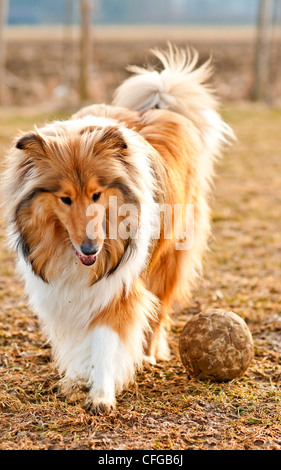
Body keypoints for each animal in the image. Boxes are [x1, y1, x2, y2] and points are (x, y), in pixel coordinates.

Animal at [1, 45, 231, 412]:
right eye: (65, 198)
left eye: (97, 194)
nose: (91, 249)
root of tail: (157, 106)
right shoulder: (61, 291)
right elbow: (76, 337)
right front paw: (77, 378)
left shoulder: (118, 285)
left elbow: (106, 338)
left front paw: (101, 394)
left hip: (169, 257)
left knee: (159, 308)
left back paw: (149, 355)